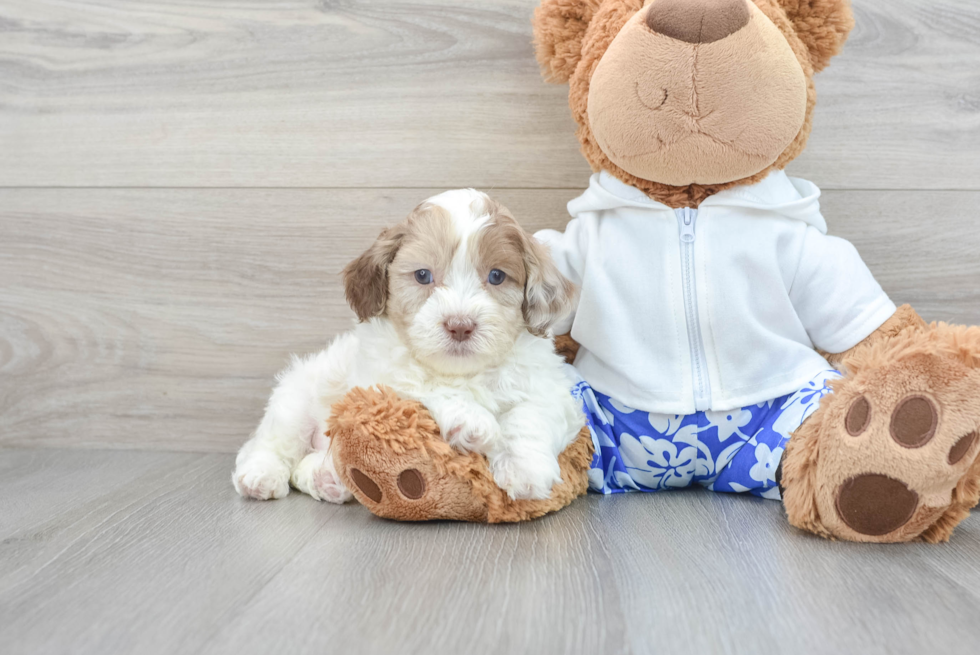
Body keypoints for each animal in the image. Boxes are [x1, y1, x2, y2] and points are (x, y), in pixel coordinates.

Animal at [234, 188, 584, 502]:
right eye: (423, 275)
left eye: (497, 276)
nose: (460, 325)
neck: (462, 373)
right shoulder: (377, 384)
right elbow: (421, 386)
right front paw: (471, 421)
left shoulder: (549, 388)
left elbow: (531, 416)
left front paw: (526, 470)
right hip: (294, 399)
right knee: (271, 443)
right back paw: (260, 475)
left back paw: (327, 478)